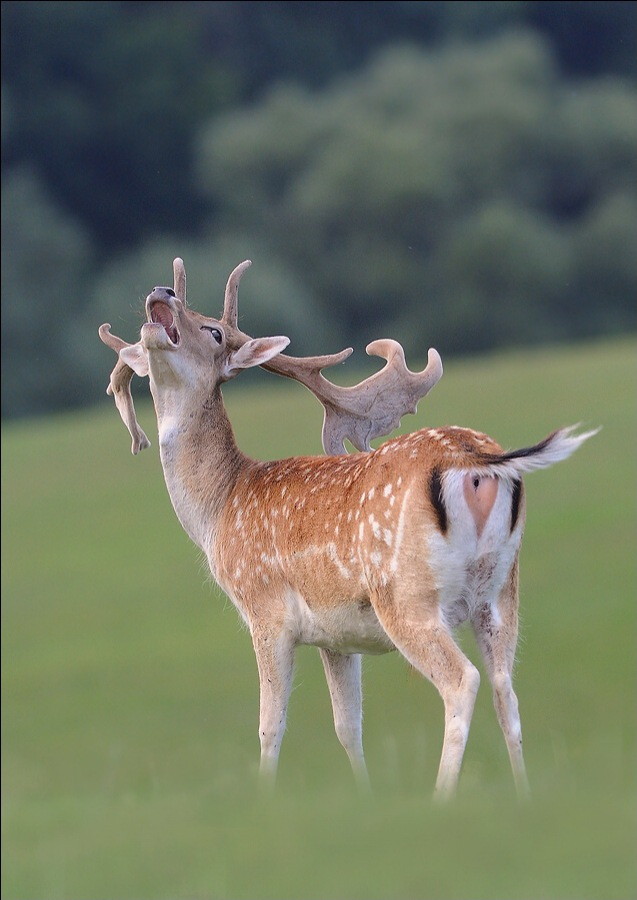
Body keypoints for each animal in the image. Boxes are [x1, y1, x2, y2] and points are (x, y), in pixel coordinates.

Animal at [99, 257, 597, 802]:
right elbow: (348, 725)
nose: (161, 290)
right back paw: (524, 796)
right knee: (507, 688)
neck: (220, 507)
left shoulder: (265, 609)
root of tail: (475, 459)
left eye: (214, 332)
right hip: (501, 589)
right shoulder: (334, 635)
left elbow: (270, 725)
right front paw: (365, 799)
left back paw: (441, 798)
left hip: (406, 594)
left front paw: (264, 801)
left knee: (461, 681)